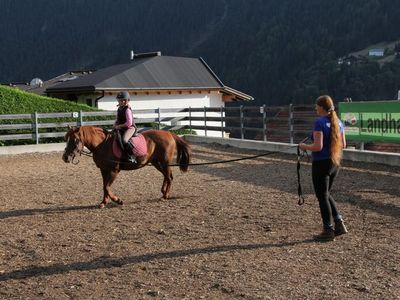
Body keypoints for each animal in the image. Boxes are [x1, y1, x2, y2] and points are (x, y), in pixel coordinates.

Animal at [63, 125, 191, 207]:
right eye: (66, 139)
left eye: (75, 140)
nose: (65, 157)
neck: (102, 145)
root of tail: (169, 134)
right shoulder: (103, 170)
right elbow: (104, 186)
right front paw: (103, 202)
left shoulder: (114, 170)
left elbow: (107, 187)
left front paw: (118, 200)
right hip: (156, 163)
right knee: (166, 176)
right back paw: (163, 192)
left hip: (164, 162)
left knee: (169, 177)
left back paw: (165, 196)